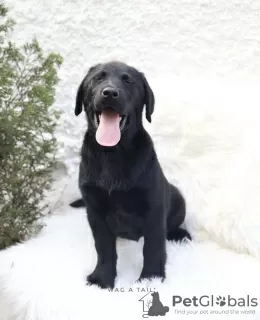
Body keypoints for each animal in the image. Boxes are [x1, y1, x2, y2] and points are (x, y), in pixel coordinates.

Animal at [70, 61, 190, 288]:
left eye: (128, 81)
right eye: (98, 78)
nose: (110, 93)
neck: (112, 153)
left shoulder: (154, 207)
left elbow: (153, 247)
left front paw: (151, 278)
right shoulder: (95, 211)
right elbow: (104, 248)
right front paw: (102, 278)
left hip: (178, 198)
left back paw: (180, 234)